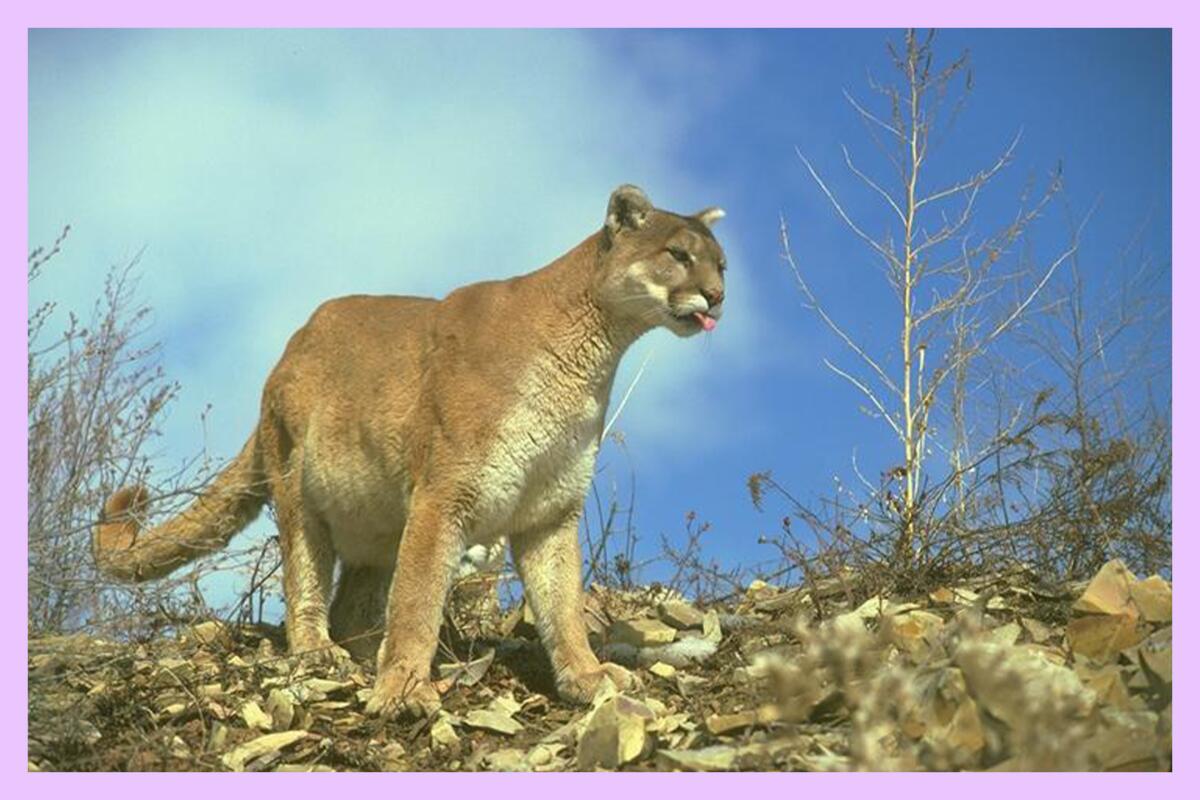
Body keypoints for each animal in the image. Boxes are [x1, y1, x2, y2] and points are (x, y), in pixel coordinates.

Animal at [93, 185, 724, 719]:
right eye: (677, 254)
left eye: (720, 263)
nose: (718, 296)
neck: (589, 357)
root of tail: (289, 348)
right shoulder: (444, 496)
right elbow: (419, 598)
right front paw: (402, 691)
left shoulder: (549, 512)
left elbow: (562, 603)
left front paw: (587, 677)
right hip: (298, 487)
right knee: (306, 577)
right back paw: (318, 650)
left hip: (376, 526)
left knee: (355, 603)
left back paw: (362, 650)